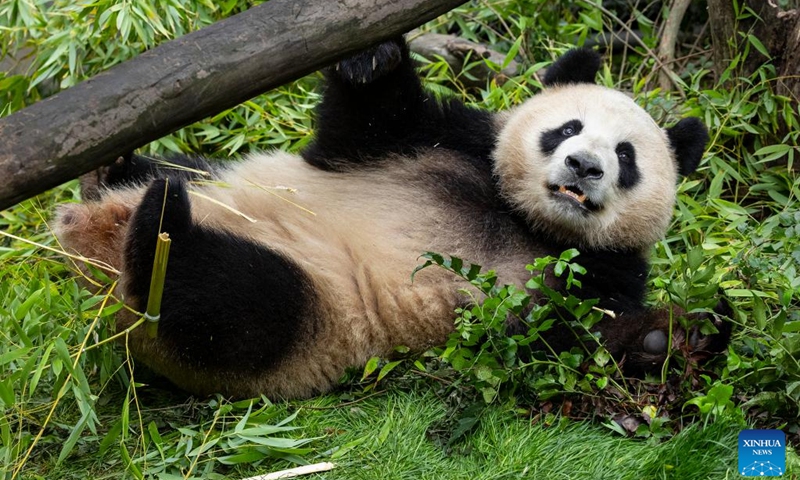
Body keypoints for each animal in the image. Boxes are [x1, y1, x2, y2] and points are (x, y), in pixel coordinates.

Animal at [54, 37, 732, 400]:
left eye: (627, 157)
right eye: (567, 128)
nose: (585, 165)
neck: (525, 219)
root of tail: (94, 248)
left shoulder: (599, 271)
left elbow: (558, 342)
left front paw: (674, 337)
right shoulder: (447, 141)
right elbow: (364, 126)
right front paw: (373, 58)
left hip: (314, 317)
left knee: (231, 301)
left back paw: (158, 234)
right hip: (216, 180)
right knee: (177, 178)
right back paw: (113, 173)